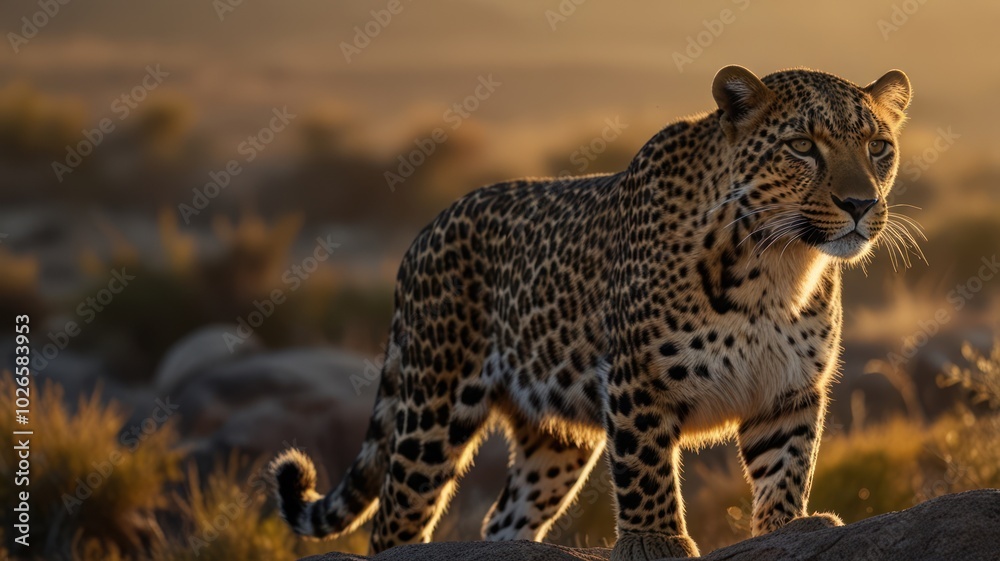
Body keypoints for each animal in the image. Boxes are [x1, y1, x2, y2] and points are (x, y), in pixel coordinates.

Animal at [270, 65, 912, 560]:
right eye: (802, 146)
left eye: (878, 148)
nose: (861, 204)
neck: (779, 266)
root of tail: (423, 233)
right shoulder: (638, 380)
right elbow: (647, 469)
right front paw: (657, 542)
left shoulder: (789, 389)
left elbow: (788, 466)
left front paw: (790, 529)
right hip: (434, 405)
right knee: (393, 520)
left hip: (553, 440)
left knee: (504, 518)